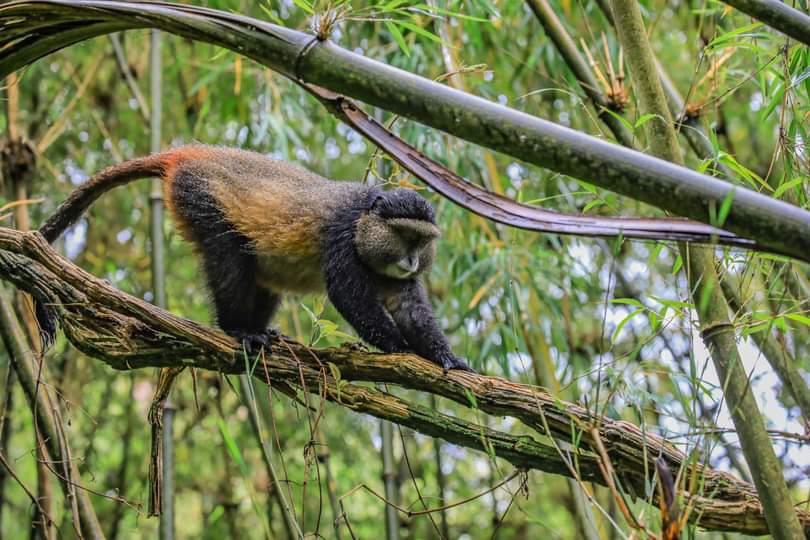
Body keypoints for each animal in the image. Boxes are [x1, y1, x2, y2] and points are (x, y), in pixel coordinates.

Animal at [36, 145, 473, 372]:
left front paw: (445, 357)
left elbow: (409, 305)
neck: (364, 220)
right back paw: (239, 330)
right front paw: (399, 348)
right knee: (230, 261)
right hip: (200, 199)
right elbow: (349, 296)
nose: (411, 263)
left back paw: (263, 331)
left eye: (422, 242)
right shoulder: (340, 236)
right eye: (404, 237)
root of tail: (186, 154)